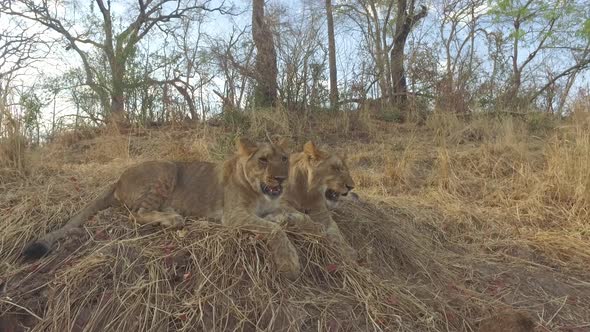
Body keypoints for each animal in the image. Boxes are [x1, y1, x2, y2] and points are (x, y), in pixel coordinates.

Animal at [22, 137, 306, 280]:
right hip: (166, 167)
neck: (263, 193)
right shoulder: (234, 216)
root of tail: (118, 179)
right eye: (263, 160)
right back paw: (172, 219)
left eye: (284, 159)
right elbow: (274, 231)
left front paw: (288, 217)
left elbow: (290, 216)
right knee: (137, 214)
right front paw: (290, 263)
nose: (282, 179)